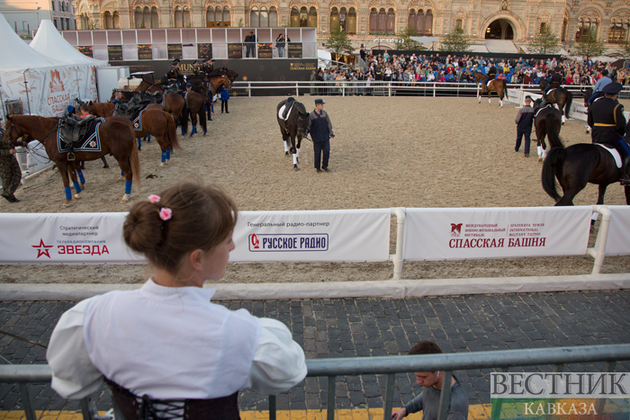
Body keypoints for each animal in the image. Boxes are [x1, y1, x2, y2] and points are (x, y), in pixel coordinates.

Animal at [4, 115, 140, 207]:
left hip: (121, 157)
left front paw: (67, 200)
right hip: (125, 157)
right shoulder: (69, 160)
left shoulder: (60, 162)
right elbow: (74, 176)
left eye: (6, 127)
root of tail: (126, 125)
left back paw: (126, 195)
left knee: (128, 174)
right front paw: (78, 193)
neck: (51, 133)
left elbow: (65, 181)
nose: (5, 141)